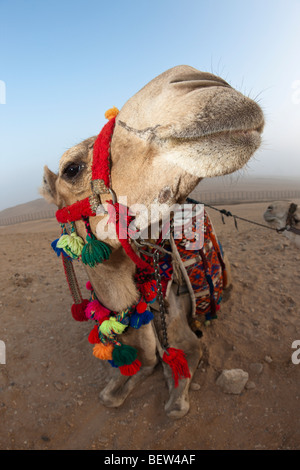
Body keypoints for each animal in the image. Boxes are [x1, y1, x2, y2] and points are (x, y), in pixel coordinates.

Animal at [41, 65, 264, 418]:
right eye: (71, 168)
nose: (197, 78)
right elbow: (114, 390)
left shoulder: (182, 336)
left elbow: (176, 396)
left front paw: (174, 395)